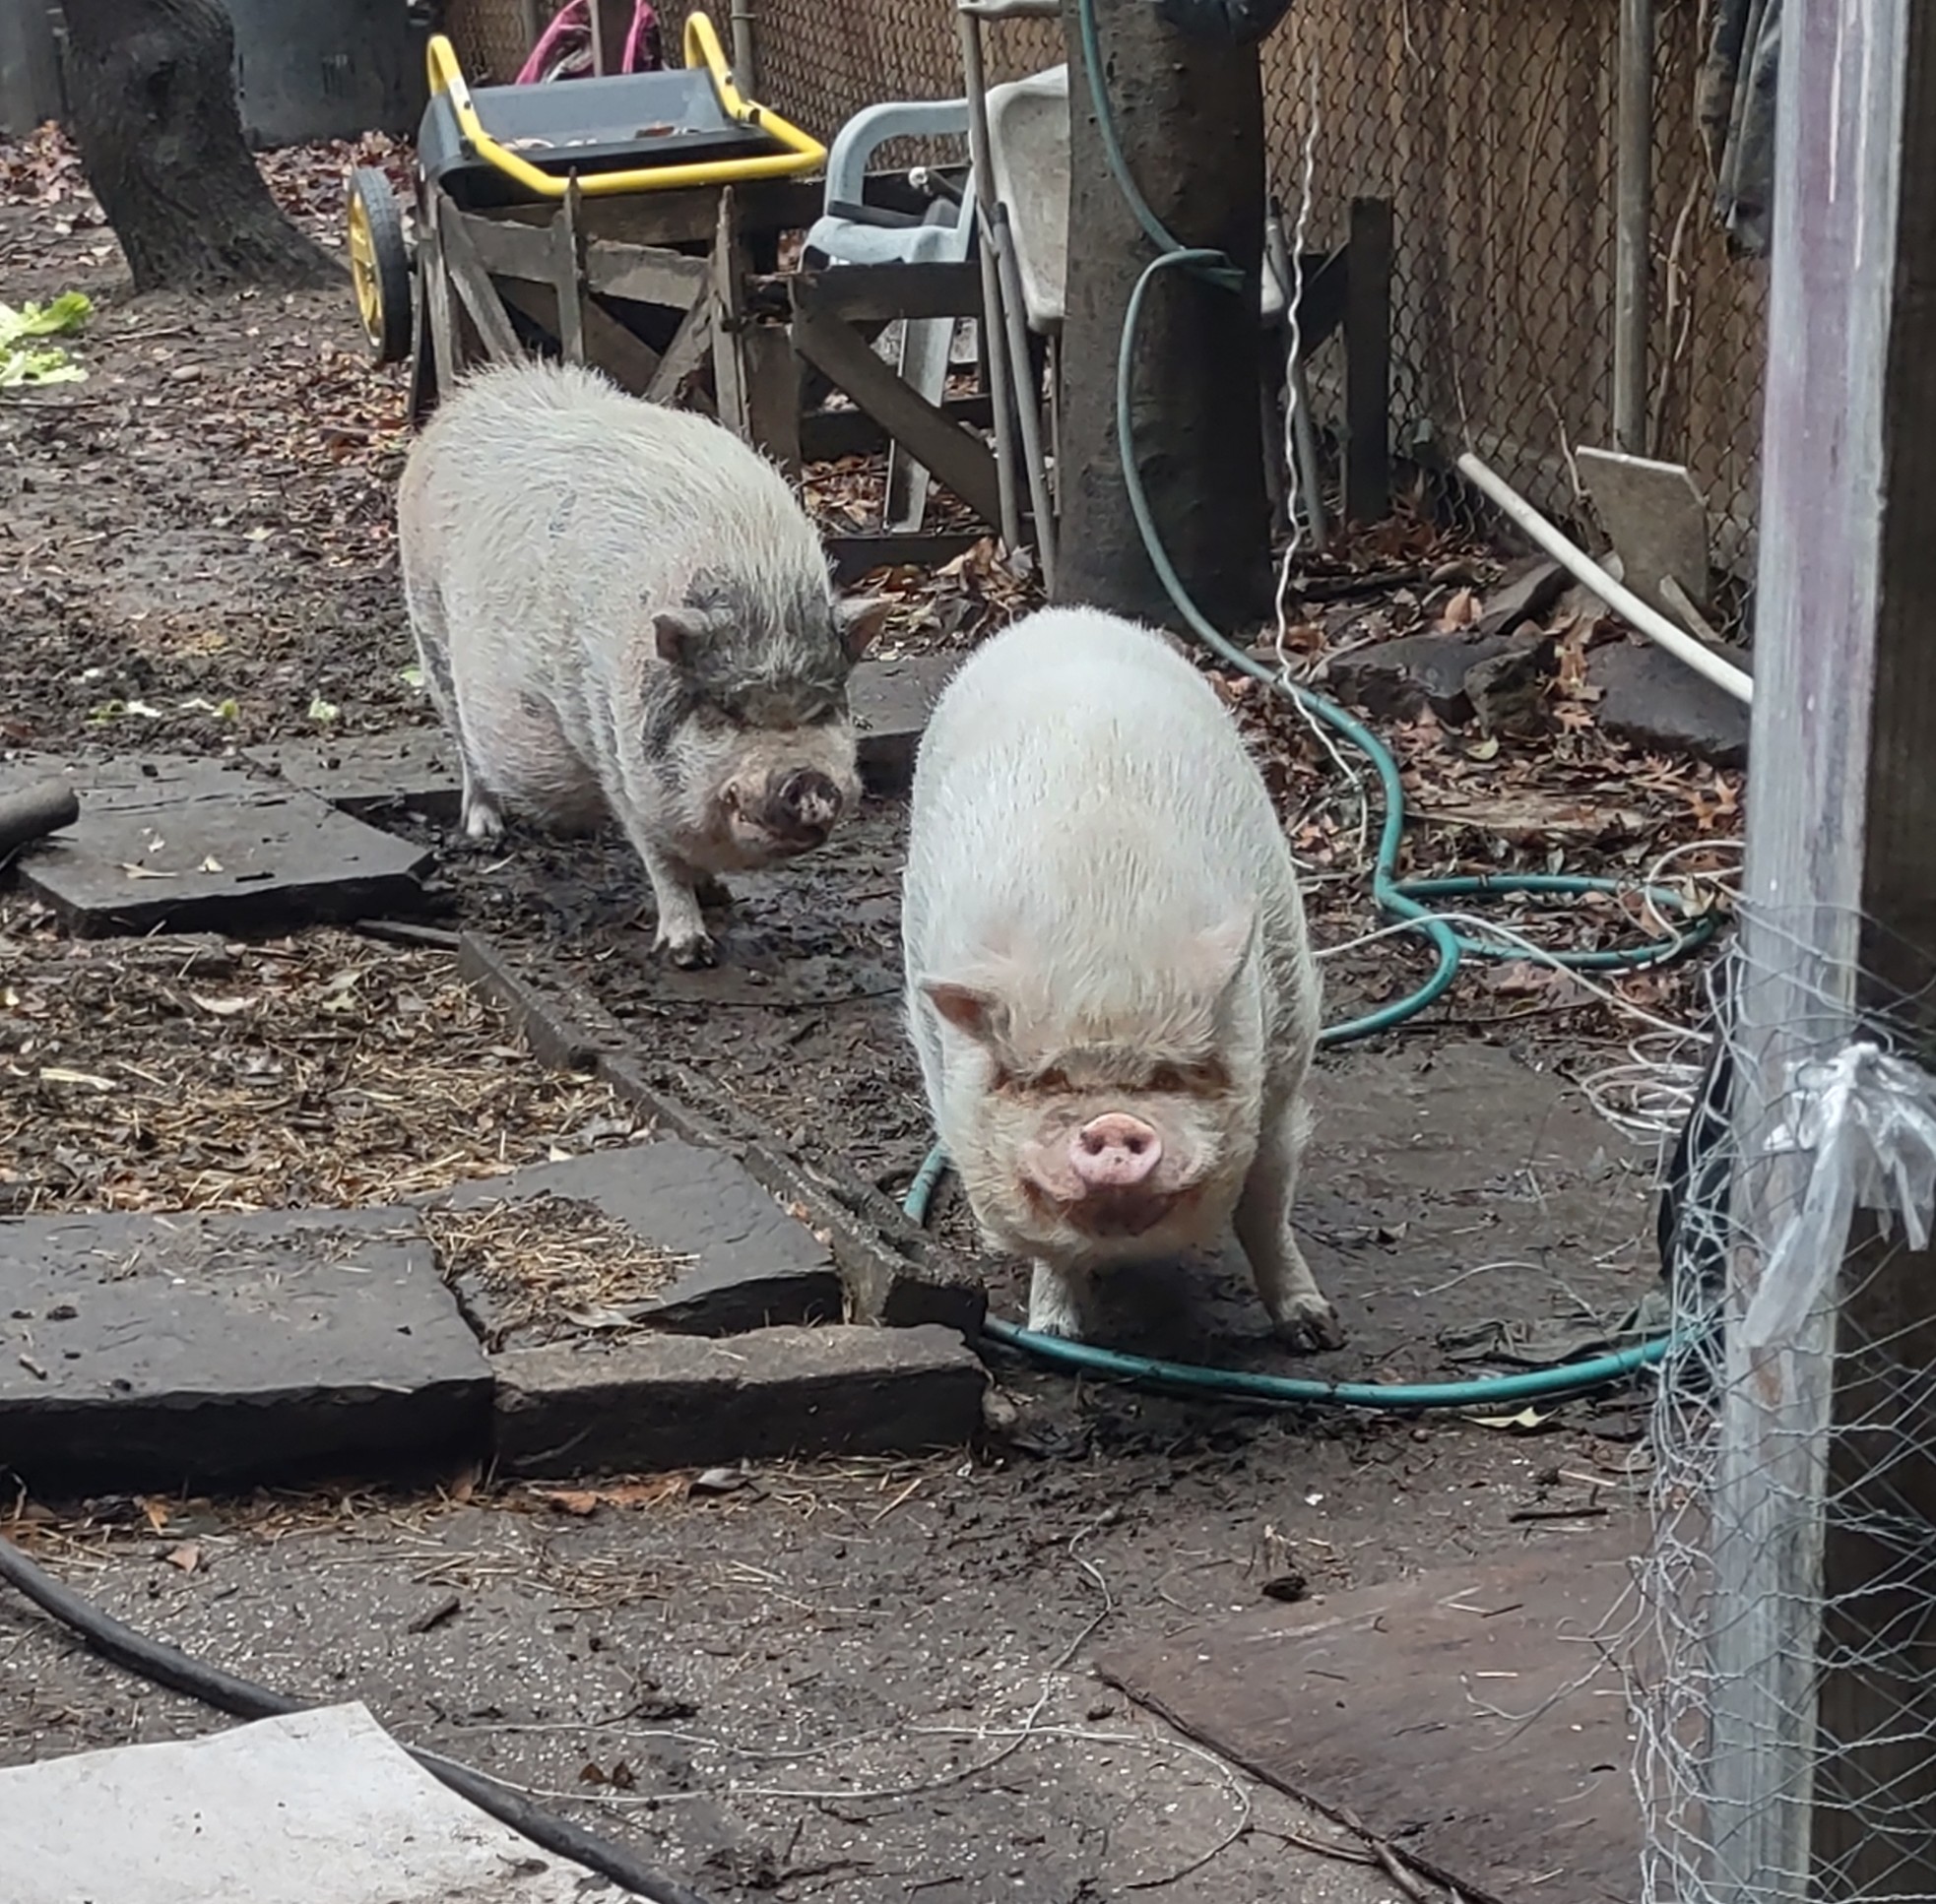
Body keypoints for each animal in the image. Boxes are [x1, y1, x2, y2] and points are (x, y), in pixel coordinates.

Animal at [395, 358, 889, 967]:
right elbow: (659, 853)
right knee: (464, 745)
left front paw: (720, 896)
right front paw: (690, 952)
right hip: (428, 627)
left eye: (822, 707)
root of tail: (467, 396)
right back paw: (486, 831)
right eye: (724, 709)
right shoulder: (612, 746)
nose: (807, 780)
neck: (760, 590)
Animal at [901, 605, 1342, 1349]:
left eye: (1167, 1077)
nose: (1113, 1125)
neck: (1104, 954)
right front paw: (1056, 1334)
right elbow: (1048, 1246)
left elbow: (1265, 1202)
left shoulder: (1281, 1071)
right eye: (1048, 1082)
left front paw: (1315, 1332)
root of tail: (1064, 616)